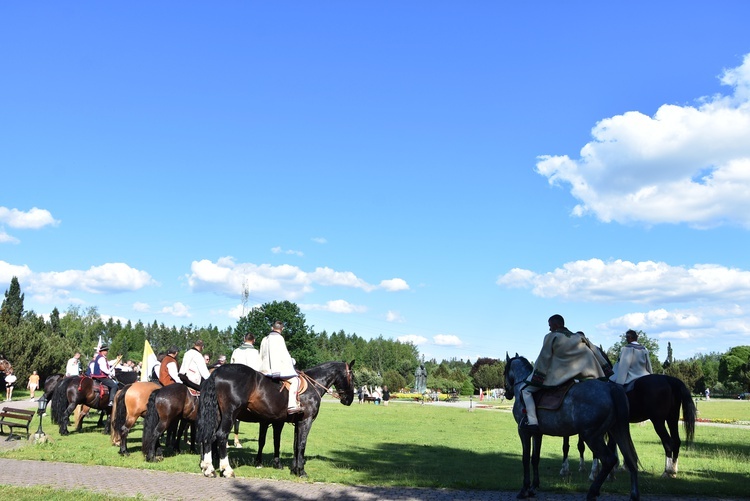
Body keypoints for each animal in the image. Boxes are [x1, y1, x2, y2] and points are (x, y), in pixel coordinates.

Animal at [197, 360, 356, 476]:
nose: (349, 400)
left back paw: (208, 468)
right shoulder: (305, 421)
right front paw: (301, 471)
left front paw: (294, 469)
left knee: (209, 436)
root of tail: (217, 372)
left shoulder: (295, 423)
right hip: (230, 415)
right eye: (352, 377)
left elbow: (295, 445)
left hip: (217, 415)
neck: (312, 385)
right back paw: (227, 469)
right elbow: (301, 444)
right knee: (221, 436)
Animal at [506, 354, 640, 498]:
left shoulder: (523, 432)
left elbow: (525, 459)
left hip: (592, 437)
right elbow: (535, 458)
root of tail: (610, 388)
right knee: (630, 460)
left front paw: (524, 489)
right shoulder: (537, 433)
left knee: (609, 460)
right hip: (616, 431)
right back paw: (633, 494)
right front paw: (533, 487)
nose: (507, 394)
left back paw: (592, 491)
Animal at [560, 374, 696, 478]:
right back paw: (673, 470)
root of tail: (669, 379)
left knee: (668, 443)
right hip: (672, 419)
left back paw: (667, 471)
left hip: (658, 421)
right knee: (676, 442)